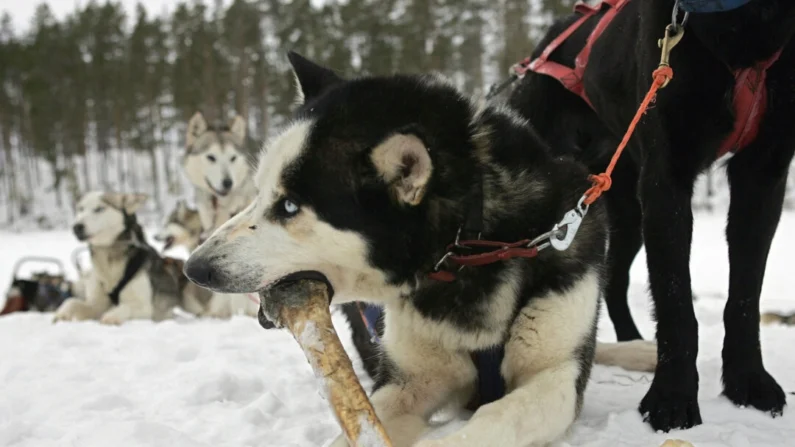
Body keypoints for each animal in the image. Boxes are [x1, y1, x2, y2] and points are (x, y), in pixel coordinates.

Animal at [512, 0, 792, 434]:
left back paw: (633, 343)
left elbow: (745, 296)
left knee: (615, 282)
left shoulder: (763, 175)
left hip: (628, 215)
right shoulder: (666, 179)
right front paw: (672, 398)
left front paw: (748, 382)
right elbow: (675, 301)